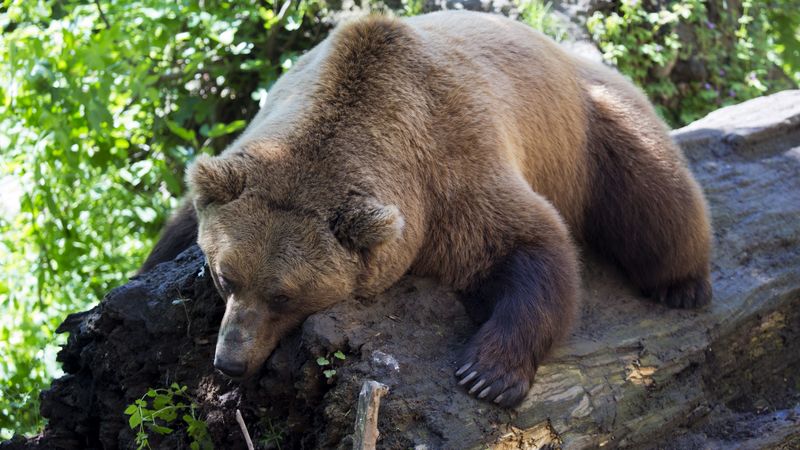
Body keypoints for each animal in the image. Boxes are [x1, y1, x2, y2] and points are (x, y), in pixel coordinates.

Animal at [139, 10, 712, 408]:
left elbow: (532, 243)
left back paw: (683, 286)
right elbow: (177, 230)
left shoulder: (451, 175)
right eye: (224, 277)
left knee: (657, 200)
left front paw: (487, 374)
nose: (230, 362)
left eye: (285, 295)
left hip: (594, 130)